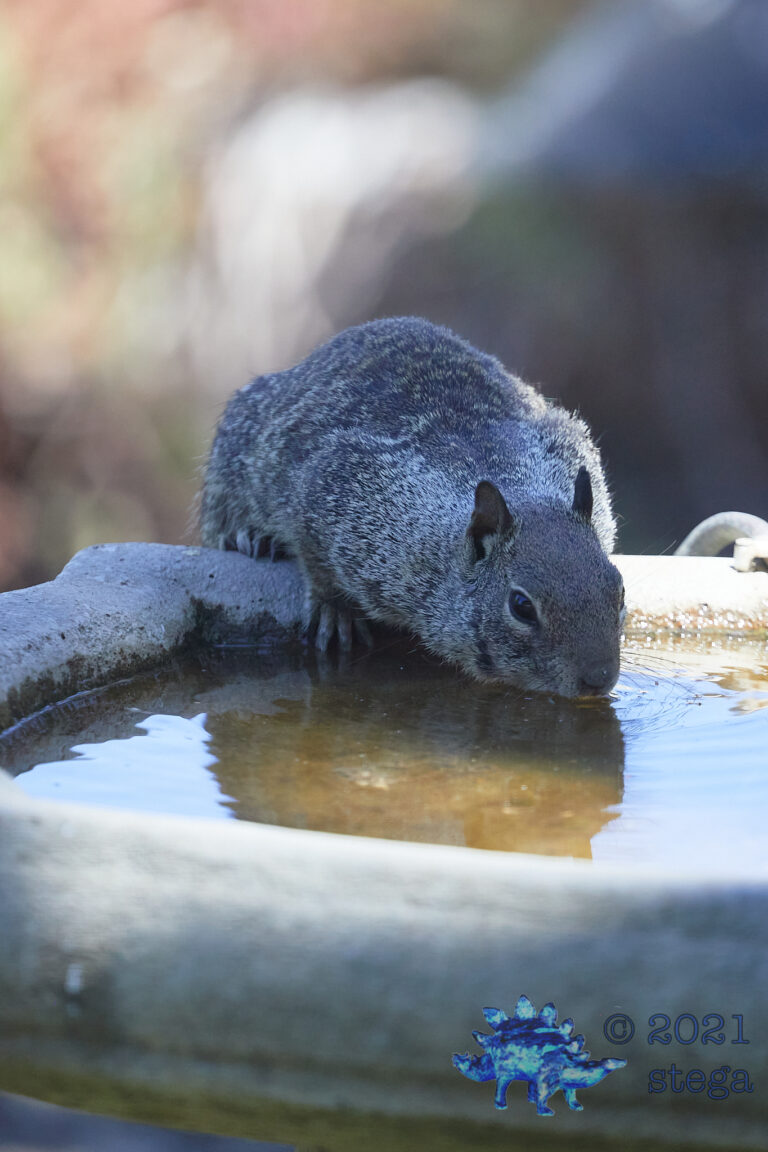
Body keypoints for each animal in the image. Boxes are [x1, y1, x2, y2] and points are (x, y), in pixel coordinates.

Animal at [201, 317, 624, 697]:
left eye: (618, 589)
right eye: (521, 606)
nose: (598, 679)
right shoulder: (335, 491)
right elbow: (316, 561)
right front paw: (335, 612)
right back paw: (250, 537)